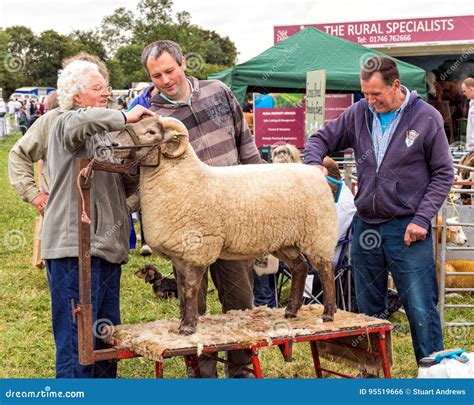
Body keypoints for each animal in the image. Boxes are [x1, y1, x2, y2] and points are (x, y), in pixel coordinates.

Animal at [113, 115, 338, 332]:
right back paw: (291, 310)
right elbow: (183, 290)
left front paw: (188, 327)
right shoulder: (179, 256)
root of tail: (317, 173)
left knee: (326, 271)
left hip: (318, 236)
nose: (114, 143)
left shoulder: (198, 250)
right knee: (300, 268)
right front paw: (184, 321)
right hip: (285, 243)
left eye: (151, 132)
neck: (184, 177)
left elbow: (191, 288)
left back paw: (328, 313)